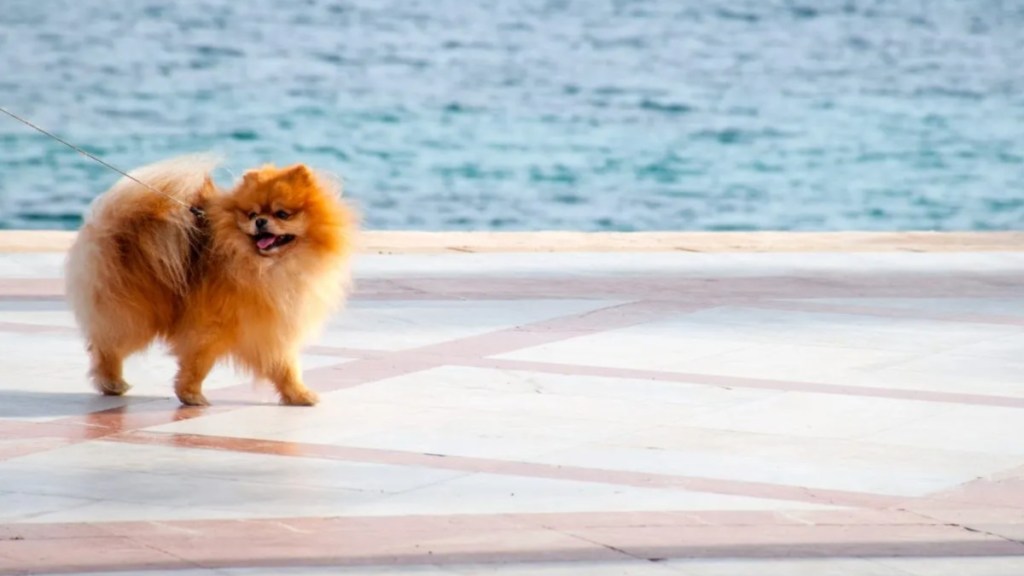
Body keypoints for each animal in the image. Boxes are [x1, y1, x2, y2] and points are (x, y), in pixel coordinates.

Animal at [64, 152, 358, 403]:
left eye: (282, 214)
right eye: (252, 214)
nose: (260, 222)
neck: (268, 268)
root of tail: (113, 220)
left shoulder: (271, 326)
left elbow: (285, 366)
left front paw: (298, 395)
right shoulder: (209, 324)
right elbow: (198, 362)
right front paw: (191, 395)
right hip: (136, 311)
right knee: (107, 346)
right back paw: (111, 381)